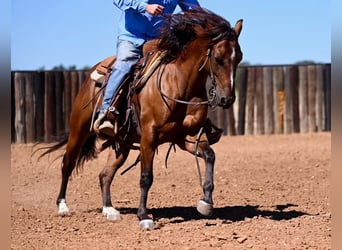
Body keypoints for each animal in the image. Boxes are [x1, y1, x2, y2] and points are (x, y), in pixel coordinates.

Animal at [40, 8, 243, 229]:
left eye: (239, 58)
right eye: (218, 58)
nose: (227, 98)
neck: (179, 83)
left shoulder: (186, 137)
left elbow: (209, 155)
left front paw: (206, 202)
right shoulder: (149, 137)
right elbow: (146, 177)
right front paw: (144, 216)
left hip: (122, 144)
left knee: (105, 174)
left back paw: (109, 210)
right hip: (79, 130)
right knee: (67, 164)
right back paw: (63, 206)